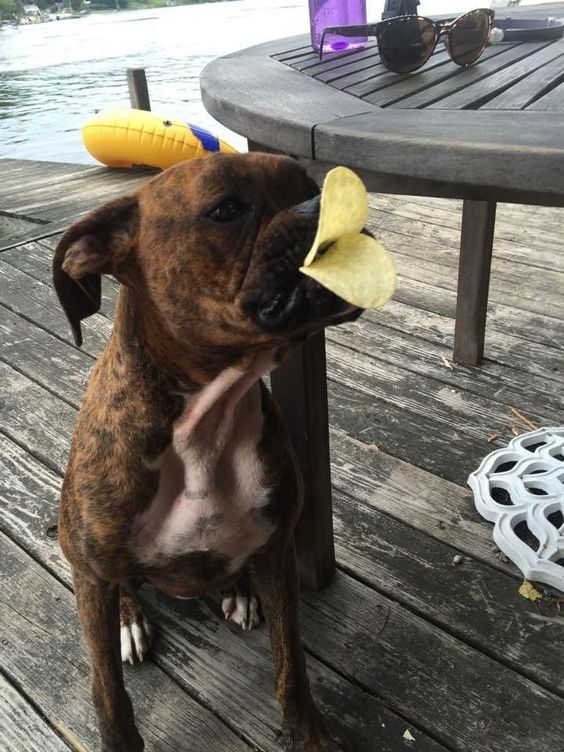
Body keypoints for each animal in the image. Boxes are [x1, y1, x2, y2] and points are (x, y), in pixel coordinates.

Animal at [54, 154, 362, 752]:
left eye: (308, 184)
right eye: (226, 209)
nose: (330, 202)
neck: (205, 423)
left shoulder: (277, 551)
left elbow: (291, 665)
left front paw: (308, 733)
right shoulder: (92, 570)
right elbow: (109, 695)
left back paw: (238, 591)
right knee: (119, 591)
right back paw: (129, 618)